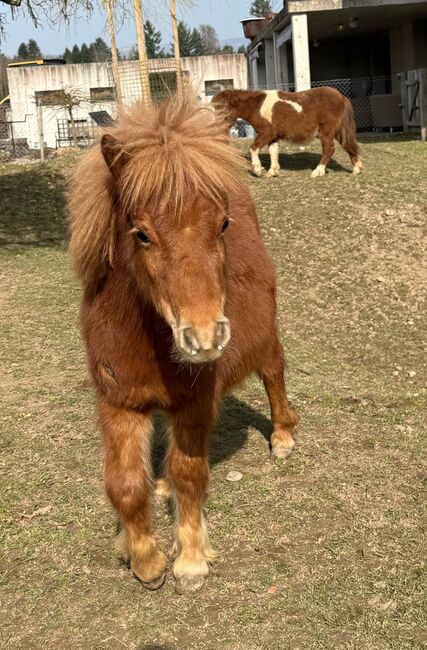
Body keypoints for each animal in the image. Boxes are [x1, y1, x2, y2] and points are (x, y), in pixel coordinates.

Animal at [69, 93, 298, 595]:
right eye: (141, 234)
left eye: (223, 224)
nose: (205, 336)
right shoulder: (117, 403)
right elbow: (124, 483)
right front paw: (144, 558)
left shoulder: (193, 404)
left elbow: (190, 474)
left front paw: (190, 561)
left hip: (267, 339)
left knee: (275, 374)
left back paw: (283, 436)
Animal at [213, 87, 363, 178]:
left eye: (220, 108)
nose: (215, 128)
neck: (257, 106)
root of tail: (342, 97)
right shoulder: (273, 137)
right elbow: (273, 152)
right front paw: (273, 171)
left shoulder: (266, 134)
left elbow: (253, 148)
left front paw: (258, 170)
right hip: (339, 132)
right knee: (349, 146)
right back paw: (357, 168)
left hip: (327, 133)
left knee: (329, 150)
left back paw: (317, 171)